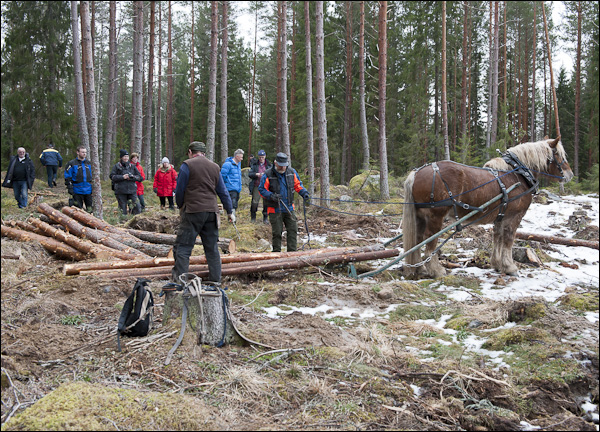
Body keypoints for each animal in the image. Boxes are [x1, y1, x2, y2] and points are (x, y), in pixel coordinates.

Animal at [404, 137, 572, 278]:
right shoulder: (514, 216)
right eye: (558, 155)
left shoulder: (501, 216)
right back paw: (436, 270)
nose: (570, 174)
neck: (518, 174)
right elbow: (508, 239)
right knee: (429, 241)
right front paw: (510, 267)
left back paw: (419, 268)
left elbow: (497, 237)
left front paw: (497, 264)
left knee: (417, 240)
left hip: (420, 216)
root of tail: (417, 173)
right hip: (435, 216)